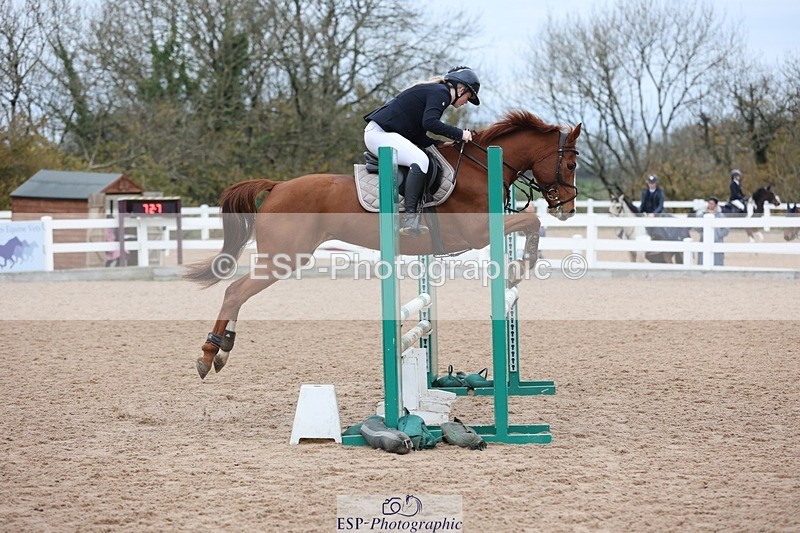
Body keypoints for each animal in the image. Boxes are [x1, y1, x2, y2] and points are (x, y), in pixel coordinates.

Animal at [185, 111, 582, 379]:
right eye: (571, 164)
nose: (568, 208)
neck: (480, 167)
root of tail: (278, 186)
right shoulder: (478, 231)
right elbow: (531, 221)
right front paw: (519, 269)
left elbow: (531, 222)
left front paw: (519, 269)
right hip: (283, 258)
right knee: (235, 290)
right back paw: (208, 354)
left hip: (282, 258)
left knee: (239, 291)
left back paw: (222, 350)